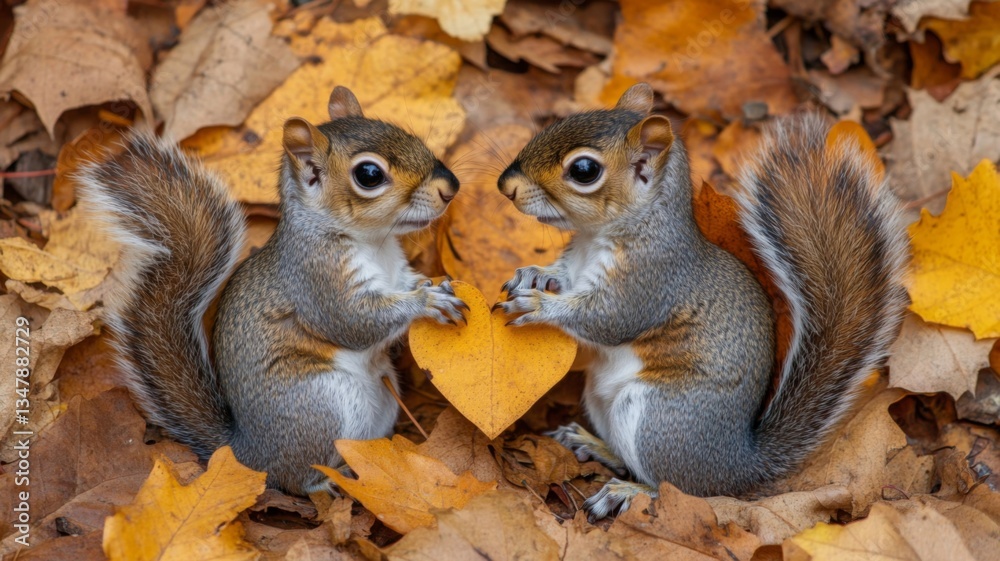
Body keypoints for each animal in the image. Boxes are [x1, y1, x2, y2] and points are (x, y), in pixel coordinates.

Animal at [78, 86, 466, 495]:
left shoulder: (396, 273)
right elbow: (352, 323)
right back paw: (331, 483)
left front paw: (435, 283)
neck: (373, 244)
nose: (450, 188)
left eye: (400, 129)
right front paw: (427, 302)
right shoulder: (316, 282)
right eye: (369, 174)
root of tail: (245, 453)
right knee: (295, 477)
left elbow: (405, 284)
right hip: (324, 403)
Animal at [496, 83, 909, 519]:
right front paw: (535, 275)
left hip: (657, 418)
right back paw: (590, 444)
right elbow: (562, 277)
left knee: (679, 488)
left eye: (584, 170)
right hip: (601, 399)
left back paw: (628, 492)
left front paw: (538, 306)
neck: (600, 236)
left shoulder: (651, 282)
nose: (506, 186)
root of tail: (737, 466)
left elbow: (609, 320)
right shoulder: (577, 264)